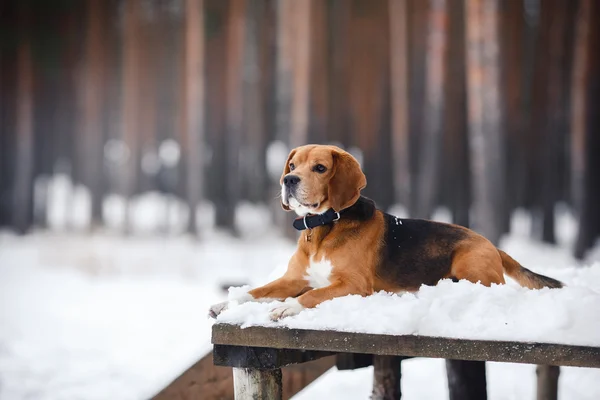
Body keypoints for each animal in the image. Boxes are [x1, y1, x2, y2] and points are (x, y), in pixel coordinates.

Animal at [207, 144, 564, 322]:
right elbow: (255, 291)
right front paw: (227, 303)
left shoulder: (352, 285)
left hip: (469, 263)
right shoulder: (293, 279)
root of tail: (492, 244)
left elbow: (311, 296)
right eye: (292, 166)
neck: (323, 228)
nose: (288, 180)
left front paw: (287, 308)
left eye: (320, 168)